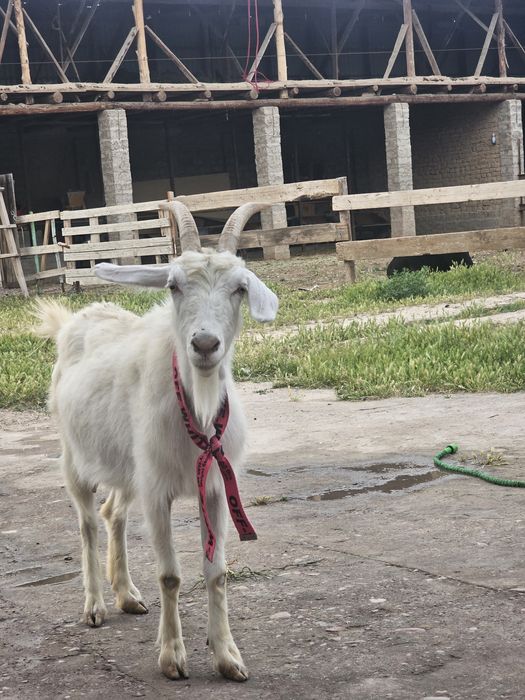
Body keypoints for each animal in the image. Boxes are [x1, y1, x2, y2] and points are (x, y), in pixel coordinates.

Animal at [35, 202, 278, 682]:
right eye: (173, 285)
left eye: (240, 288)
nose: (205, 343)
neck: (196, 410)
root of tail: (76, 318)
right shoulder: (158, 492)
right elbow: (170, 575)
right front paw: (171, 657)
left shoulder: (214, 488)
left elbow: (217, 572)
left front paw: (227, 656)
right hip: (76, 458)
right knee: (88, 523)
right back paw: (95, 605)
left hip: (131, 469)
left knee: (113, 513)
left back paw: (127, 594)